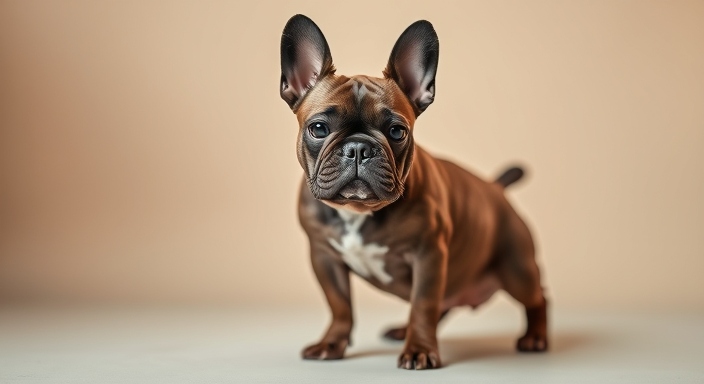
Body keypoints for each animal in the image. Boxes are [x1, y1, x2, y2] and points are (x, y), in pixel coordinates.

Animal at [278, 14, 548, 368]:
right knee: (446, 302)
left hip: (517, 268)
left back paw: (536, 337)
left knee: (537, 297)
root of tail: (494, 187)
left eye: (397, 131)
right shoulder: (324, 257)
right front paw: (332, 344)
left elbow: (423, 304)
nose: (358, 148)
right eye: (319, 128)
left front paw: (419, 349)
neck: (359, 213)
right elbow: (340, 306)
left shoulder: (429, 256)